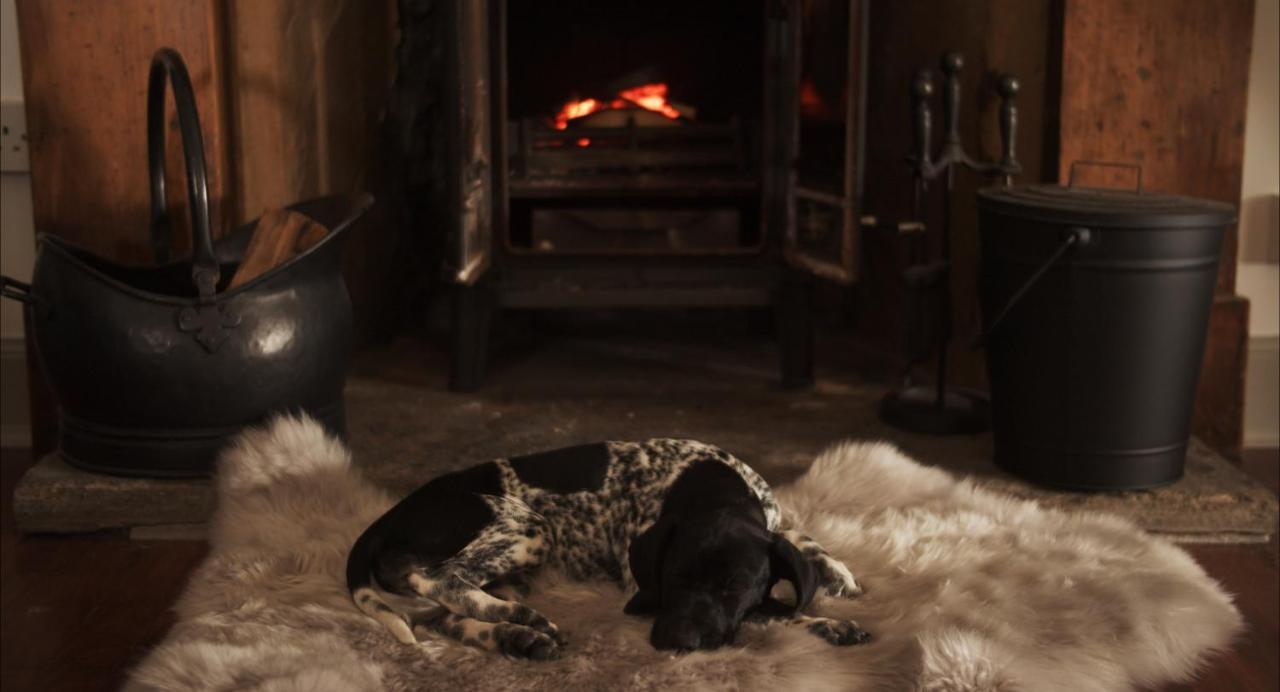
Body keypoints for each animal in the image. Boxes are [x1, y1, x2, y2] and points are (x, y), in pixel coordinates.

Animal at [345, 437, 870, 660]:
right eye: (670, 577)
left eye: (734, 584)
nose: (675, 643)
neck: (706, 484)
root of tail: (390, 516)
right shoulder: (644, 592)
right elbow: (771, 609)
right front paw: (825, 622)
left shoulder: (771, 525)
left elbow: (796, 542)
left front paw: (836, 576)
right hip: (527, 528)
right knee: (436, 580)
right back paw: (520, 621)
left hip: (512, 568)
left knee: (440, 615)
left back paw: (514, 636)